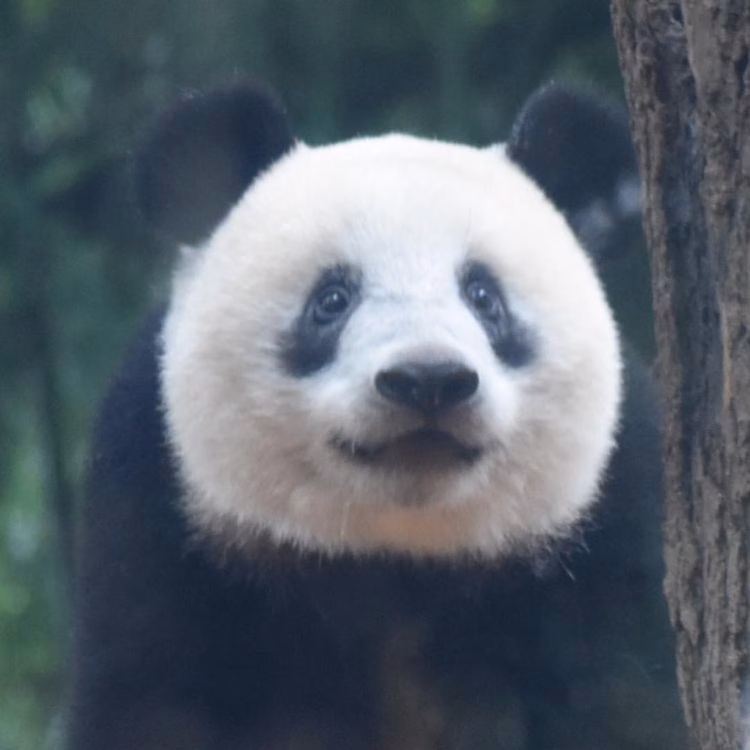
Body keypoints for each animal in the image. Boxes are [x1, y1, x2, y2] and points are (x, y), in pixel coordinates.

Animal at [67, 81, 686, 750]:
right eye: (332, 299)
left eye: (484, 297)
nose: (428, 381)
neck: (395, 556)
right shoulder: (157, 508)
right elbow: (154, 696)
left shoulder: (611, 525)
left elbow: (620, 699)